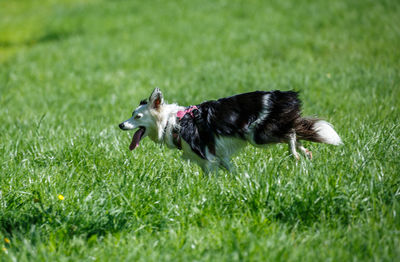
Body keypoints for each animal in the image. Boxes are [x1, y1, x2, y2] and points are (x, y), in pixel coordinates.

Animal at [119, 89, 340, 173]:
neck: (170, 122)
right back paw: (305, 152)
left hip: (258, 135)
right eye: (132, 114)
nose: (121, 125)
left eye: (137, 117)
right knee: (296, 130)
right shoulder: (219, 156)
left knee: (291, 134)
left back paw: (294, 153)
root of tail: (285, 95)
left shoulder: (207, 158)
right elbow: (233, 171)